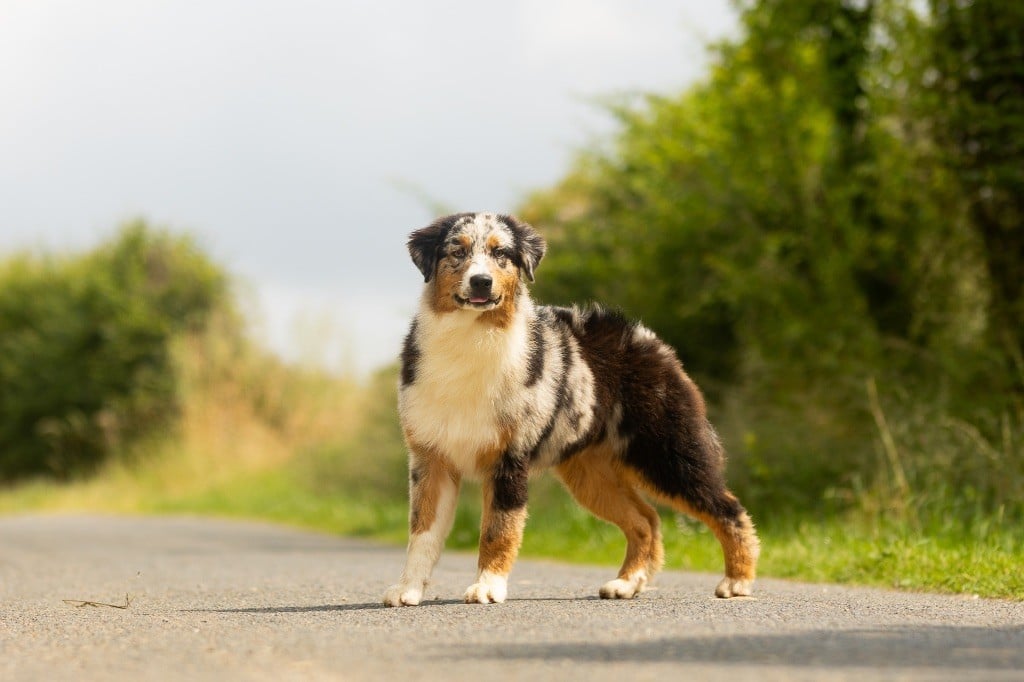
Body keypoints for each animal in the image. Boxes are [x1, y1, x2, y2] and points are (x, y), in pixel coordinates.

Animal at [385, 209, 761, 602]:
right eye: (456, 251)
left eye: (501, 253)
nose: (481, 282)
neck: (471, 336)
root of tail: (646, 339)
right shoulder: (431, 459)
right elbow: (422, 533)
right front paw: (408, 589)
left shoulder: (509, 459)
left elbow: (497, 530)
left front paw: (487, 587)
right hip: (591, 474)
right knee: (645, 519)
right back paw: (627, 583)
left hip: (669, 455)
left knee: (728, 508)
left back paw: (737, 580)